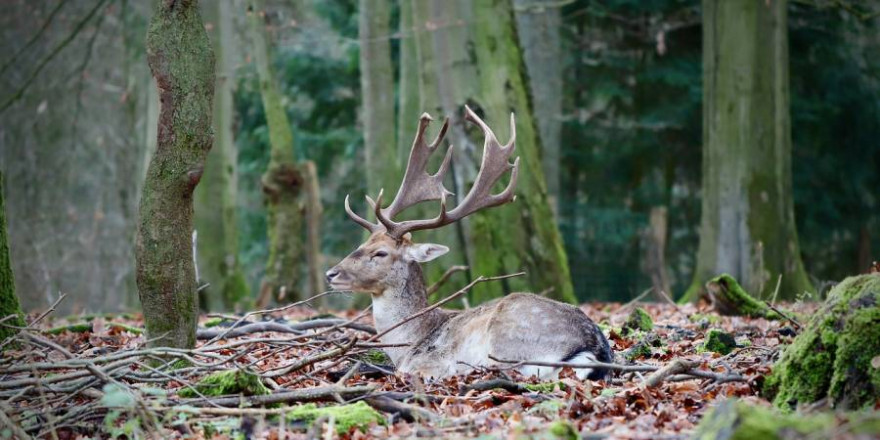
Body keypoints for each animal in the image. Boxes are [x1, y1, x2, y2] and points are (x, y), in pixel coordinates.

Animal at [324, 105, 612, 378]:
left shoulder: (427, 362)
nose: (331, 273)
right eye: (360, 246)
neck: (407, 345)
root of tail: (594, 347)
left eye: (381, 253)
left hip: (507, 341)